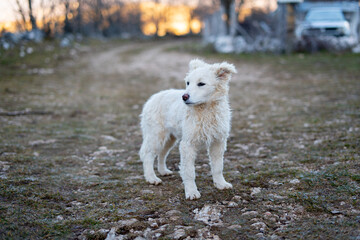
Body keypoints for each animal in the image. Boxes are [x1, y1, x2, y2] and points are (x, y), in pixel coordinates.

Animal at [139, 59, 238, 200]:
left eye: (201, 84)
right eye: (188, 82)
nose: (184, 97)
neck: (206, 110)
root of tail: (153, 97)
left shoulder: (218, 142)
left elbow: (218, 166)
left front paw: (221, 184)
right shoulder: (188, 144)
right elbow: (189, 171)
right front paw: (191, 192)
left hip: (170, 138)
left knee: (162, 153)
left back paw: (163, 171)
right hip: (156, 135)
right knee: (147, 154)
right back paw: (151, 178)